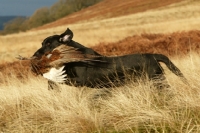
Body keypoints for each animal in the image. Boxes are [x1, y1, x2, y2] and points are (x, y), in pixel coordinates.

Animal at [32, 27, 188, 88]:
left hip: (157, 80)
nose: (34, 56)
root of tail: (153, 56)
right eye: (42, 43)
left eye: (48, 44)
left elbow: (59, 78)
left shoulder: (81, 80)